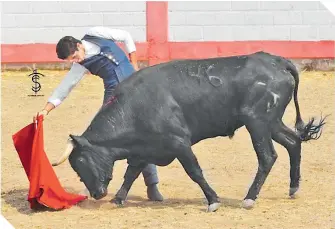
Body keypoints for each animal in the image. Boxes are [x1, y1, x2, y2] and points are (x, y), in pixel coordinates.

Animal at [53, 51, 328, 212]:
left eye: (81, 161)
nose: (96, 194)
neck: (134, 107)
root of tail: (277, 61)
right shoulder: (144, 149)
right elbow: (131, 172)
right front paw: (119, 198)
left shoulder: (179, 143)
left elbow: (194, 171)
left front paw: (213, 201)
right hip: (271, 122)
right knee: (293, 142)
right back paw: (293, 189)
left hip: (257, 122)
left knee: (268, 156)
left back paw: (249, 198)